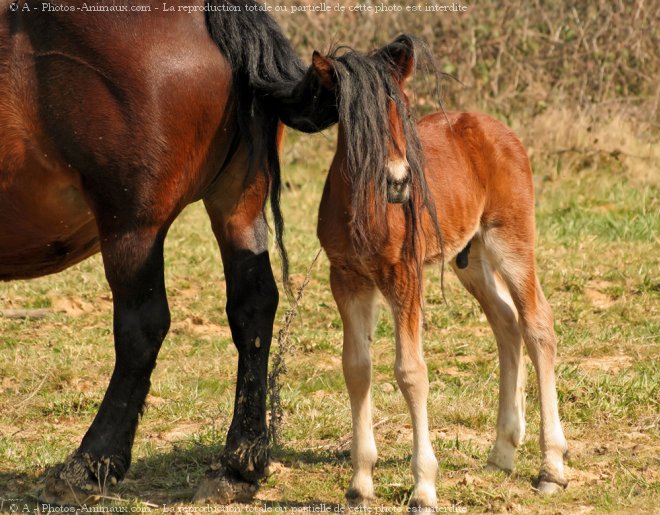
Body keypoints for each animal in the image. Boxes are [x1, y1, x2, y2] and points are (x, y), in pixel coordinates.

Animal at [1, 0, 336, 506]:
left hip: (130, 224)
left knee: (142, 329)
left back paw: (89, 464)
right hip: (237, 201)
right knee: (253, 308)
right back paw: (238, 465)